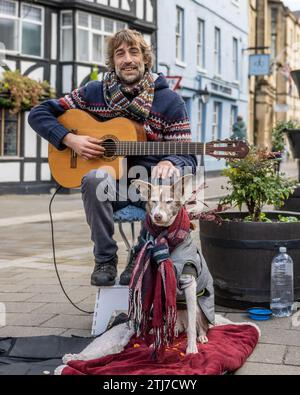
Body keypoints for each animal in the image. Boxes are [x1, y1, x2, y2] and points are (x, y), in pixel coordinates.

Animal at [132, 176, 214, 356]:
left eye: (169, 201)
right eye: (154, 201)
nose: (157, 216)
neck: (168, 239)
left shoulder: (189, 284)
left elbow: (192, 327)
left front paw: (191, 348)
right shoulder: (161, 284)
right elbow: (161, 324)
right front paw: (157, 344)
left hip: (199, 309)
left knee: (199, 325)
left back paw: (201, 336)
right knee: (175, 325)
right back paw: (174, 330)